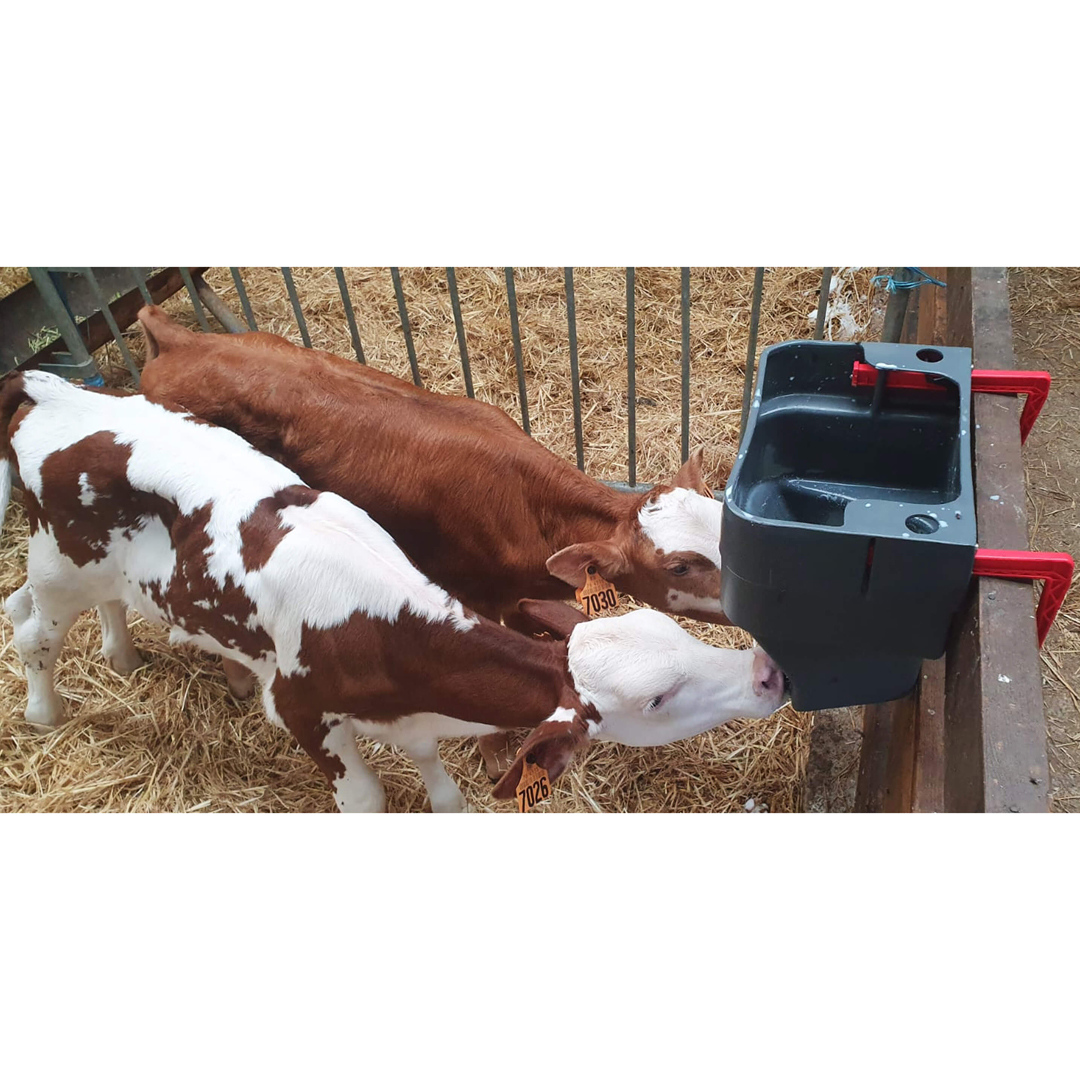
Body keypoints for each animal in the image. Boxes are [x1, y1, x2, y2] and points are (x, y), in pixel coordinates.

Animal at [0, 371, 787, 812]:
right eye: (656, 699)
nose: (768, 670)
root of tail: (55, 390)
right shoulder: (305, 713)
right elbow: (370, 798)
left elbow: (440, 784)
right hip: (57, 565)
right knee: (32, 628)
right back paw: (44, 713)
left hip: (110, 571)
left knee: (110, 602)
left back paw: (126, 655)